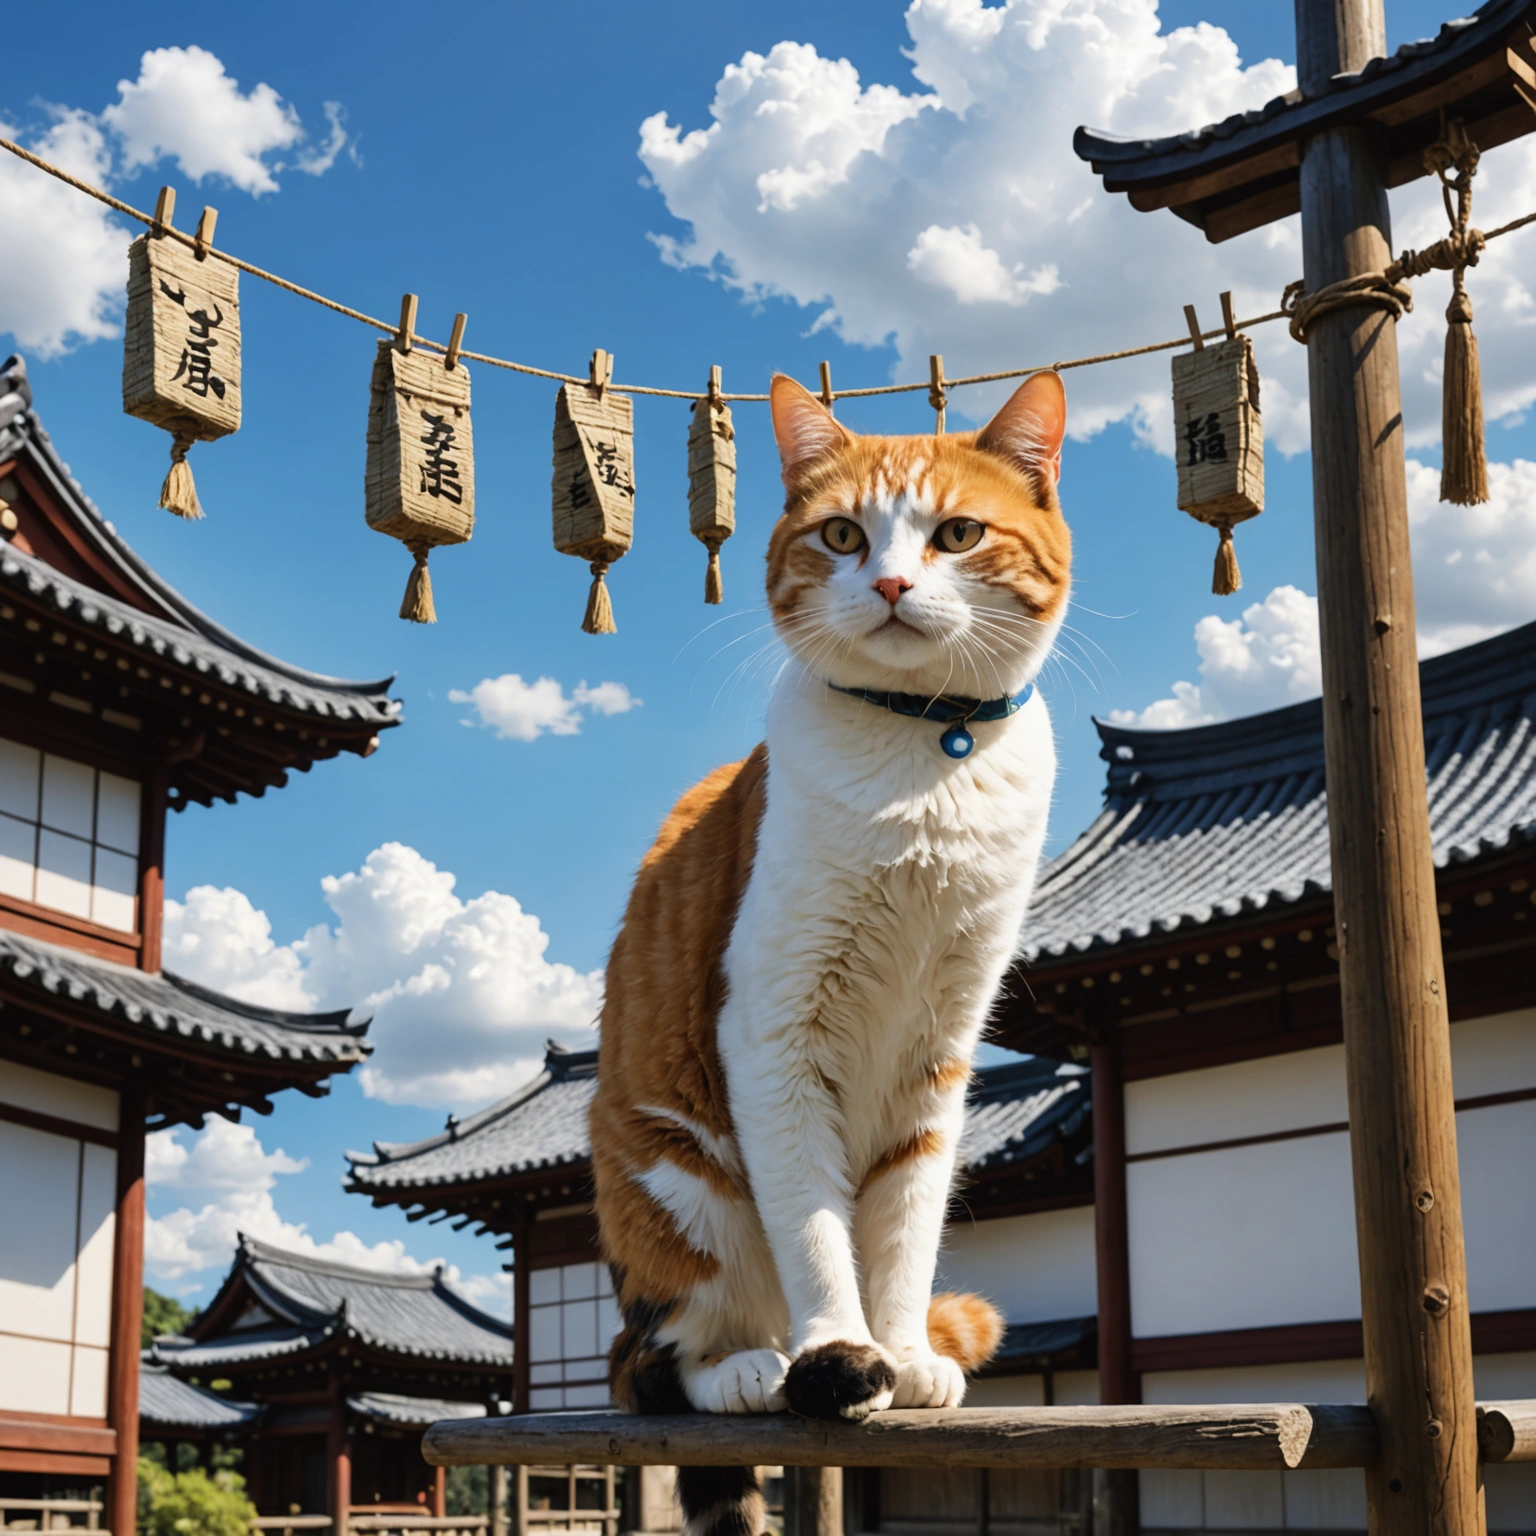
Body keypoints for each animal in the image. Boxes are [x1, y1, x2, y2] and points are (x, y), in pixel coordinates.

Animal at [586, 371, 1069, 1536]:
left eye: (957, 533)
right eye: (842, 534)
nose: (890, 580)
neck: (926, 760)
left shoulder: (941, 1048)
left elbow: (902, 1220)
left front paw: (900, 1351)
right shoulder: (774, 1030)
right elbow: (814, 1224)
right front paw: (842, 1353)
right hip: (677, 1181)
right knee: (647, 1363)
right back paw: (753, 1367)